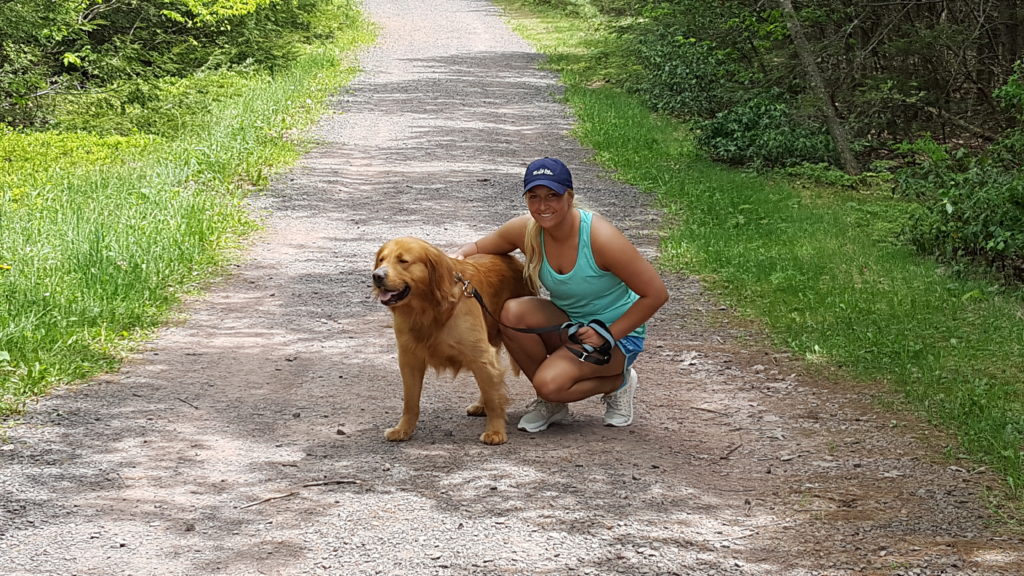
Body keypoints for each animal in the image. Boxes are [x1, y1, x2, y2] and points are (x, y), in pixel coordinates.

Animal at [370, 235, 532, 440]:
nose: (377, 276)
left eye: (403, 261)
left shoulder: (480, 354)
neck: (428, 310)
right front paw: (403, 429)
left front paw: (495, 431)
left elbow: (493, 399)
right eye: (381, 260)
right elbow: (410, 401)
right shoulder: (409, 359)